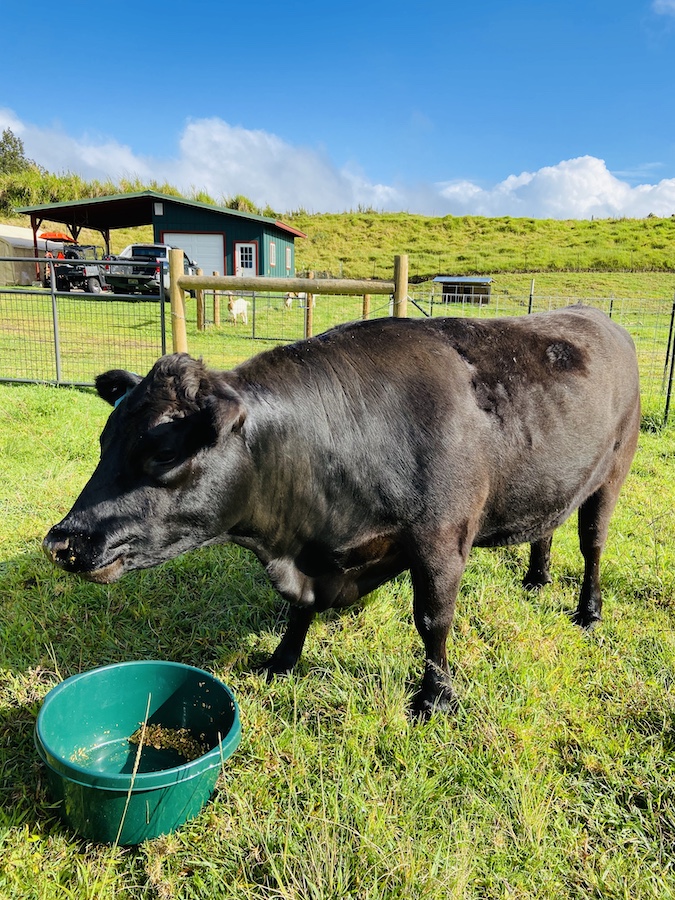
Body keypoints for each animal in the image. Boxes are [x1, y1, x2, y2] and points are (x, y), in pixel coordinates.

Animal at [43, 306, 640, 717]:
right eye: (105, 440)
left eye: (164, 452)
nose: (63, 541)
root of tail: (595, 315)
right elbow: (298, 611)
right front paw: (281, 660)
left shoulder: (441, 538)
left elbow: (433, 619)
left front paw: (435, 699)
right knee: (546, 528)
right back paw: (536, 578)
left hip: (611, 475)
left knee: (592, 543)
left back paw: (587, 611)